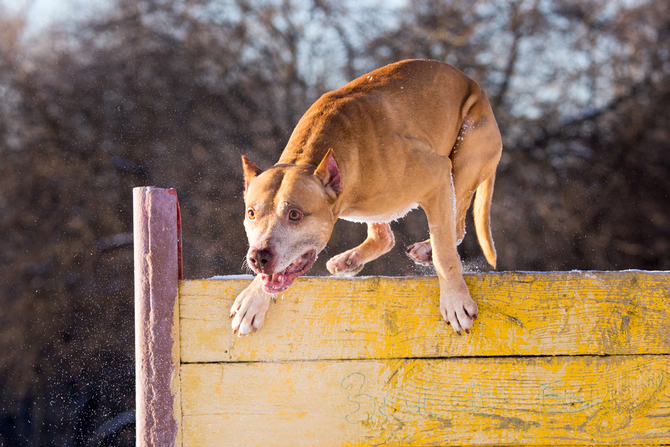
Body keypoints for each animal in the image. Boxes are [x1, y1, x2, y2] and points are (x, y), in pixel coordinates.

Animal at [234, 61, 502, 338]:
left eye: (294, 214)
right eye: (251, 213)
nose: (258, 258)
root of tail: (477, 87)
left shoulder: (437, 176)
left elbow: (444, 253)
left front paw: (455, 300)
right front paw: (253, 297)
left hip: (464, 160)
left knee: (454, 229)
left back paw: (426, 249)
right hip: (382, 207)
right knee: (384, 236)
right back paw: (349, 259)